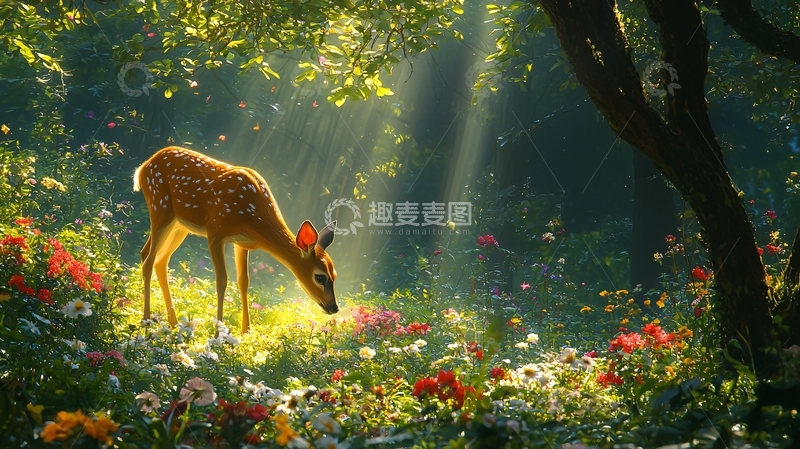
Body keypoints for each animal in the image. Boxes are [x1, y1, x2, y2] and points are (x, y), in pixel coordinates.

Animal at [133, 146, 338, 334]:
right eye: (320, 277)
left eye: (335, 275)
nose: (334, 307)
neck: (254, 217)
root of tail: (143, 167)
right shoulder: (215, 230)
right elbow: (222, 280)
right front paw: (218, 334)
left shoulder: (242, 243)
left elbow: (243, 282)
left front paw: (246, 331)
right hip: (160, 206)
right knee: (149, 259)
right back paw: (146, 321)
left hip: (180, 224)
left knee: (156, 258)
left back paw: (174, 323)